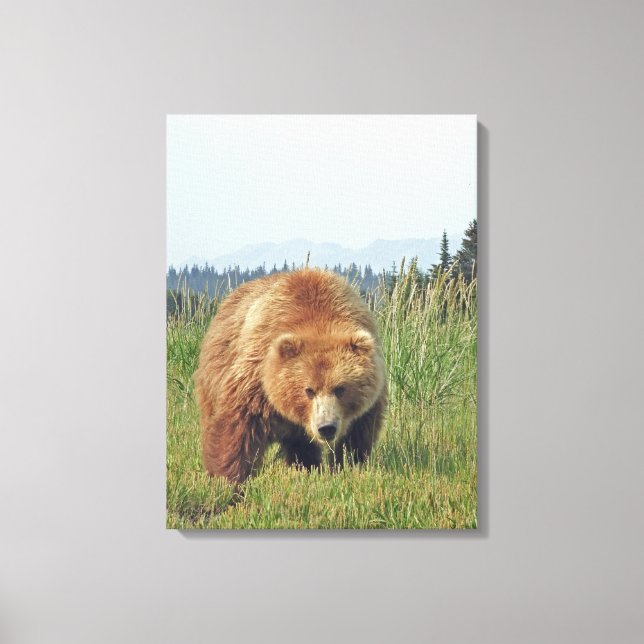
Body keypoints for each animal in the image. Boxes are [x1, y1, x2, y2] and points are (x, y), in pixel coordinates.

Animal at [194, 268, 387, 485]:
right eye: (308, 390)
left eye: (340, 389)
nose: (326, 427)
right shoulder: (257, 378)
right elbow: (237, 426)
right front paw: (227, 479)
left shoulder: (368, 402)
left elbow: (356, 437)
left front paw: (349, 465)